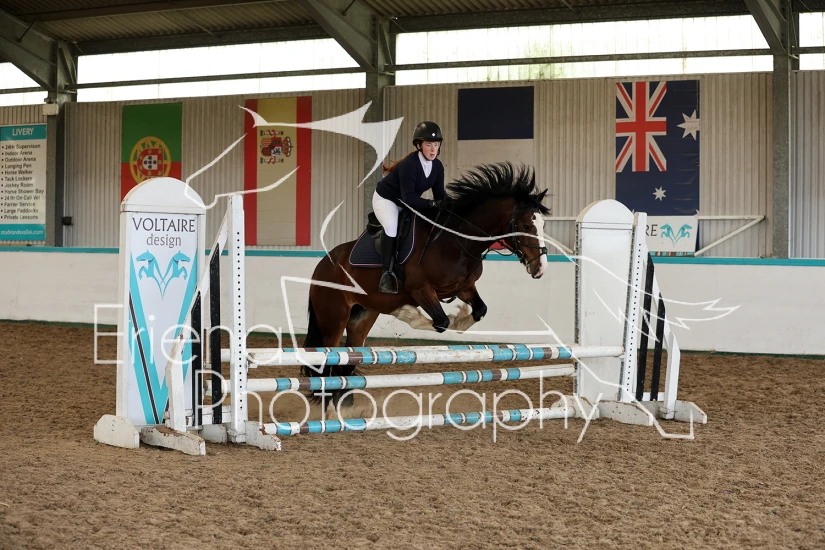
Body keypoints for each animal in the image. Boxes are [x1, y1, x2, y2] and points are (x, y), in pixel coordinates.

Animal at [300, 162, 551, 408]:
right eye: (526, 226)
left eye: (542, 225)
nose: (540, 269)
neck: (455, 241)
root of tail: (322, 265)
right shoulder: (420, 290)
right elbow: (440, 322)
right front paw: (407, 313)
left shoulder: (464, 287)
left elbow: (478, 310)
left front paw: (461, 319)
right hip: (334, 318)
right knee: (327, 360)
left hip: (363, 315)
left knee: (346, 361)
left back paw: (344, 405)